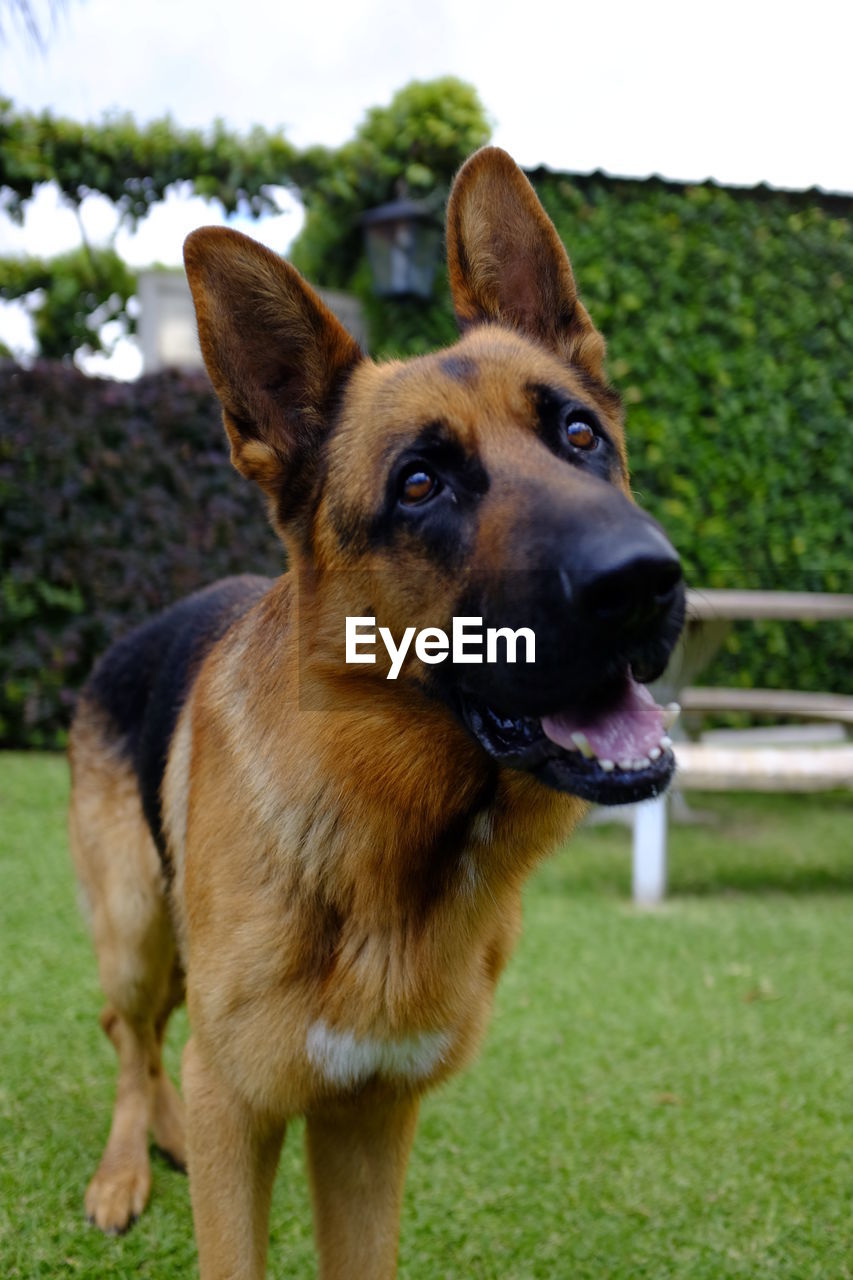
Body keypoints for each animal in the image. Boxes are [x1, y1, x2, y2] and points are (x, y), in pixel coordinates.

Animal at [71, 145, 686, 1274]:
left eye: (579, 433)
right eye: (419, 484)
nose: (644, 581)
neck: (399, 842)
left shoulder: (366, 1119)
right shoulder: (242, 1112)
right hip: (133, 929)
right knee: (132, 1037)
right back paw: (128, 1165)